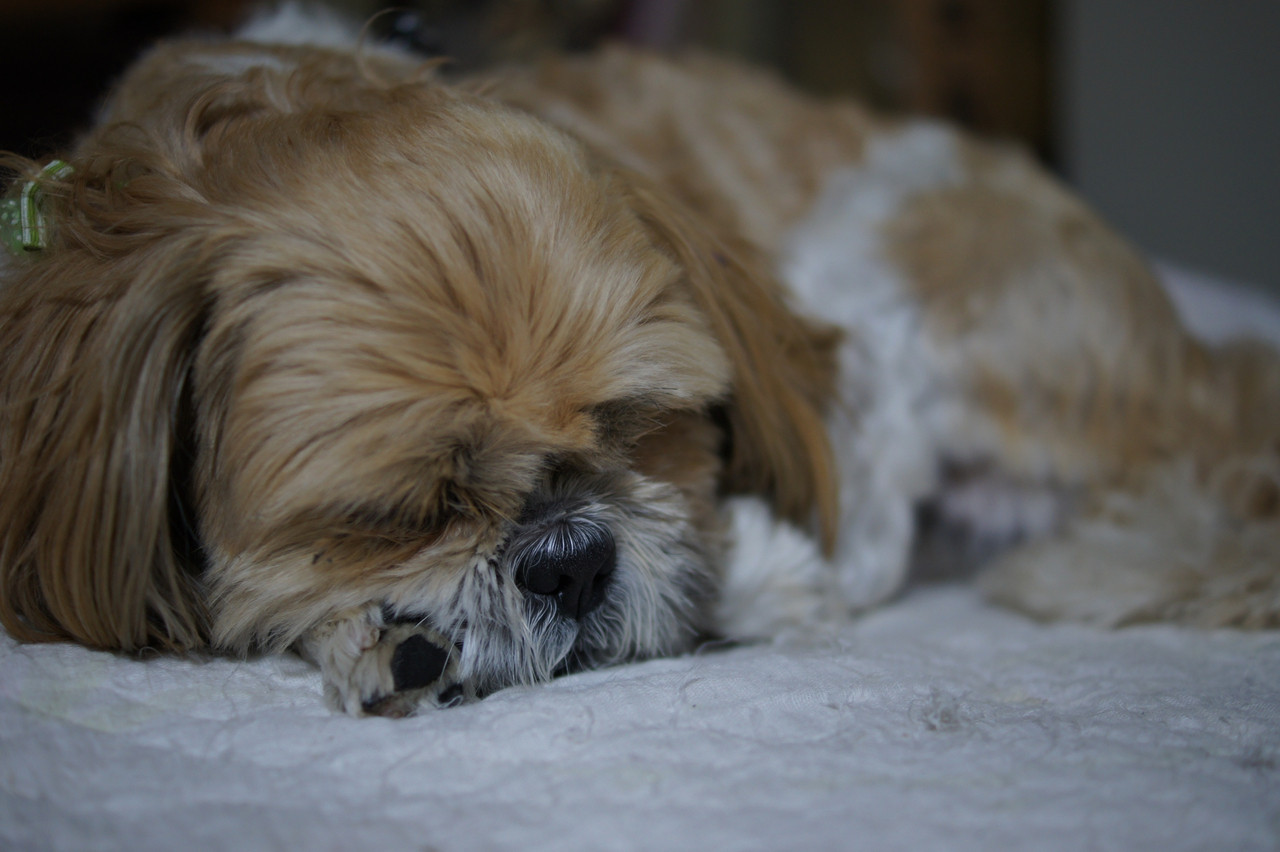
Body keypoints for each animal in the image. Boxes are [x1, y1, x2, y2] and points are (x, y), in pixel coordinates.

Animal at [2, 11, 1277, 716]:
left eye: (639, 425)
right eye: (395, 514)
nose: (568, 559)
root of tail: (1197, 367)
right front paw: (382, 637)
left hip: (891, 249)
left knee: (867, 531)